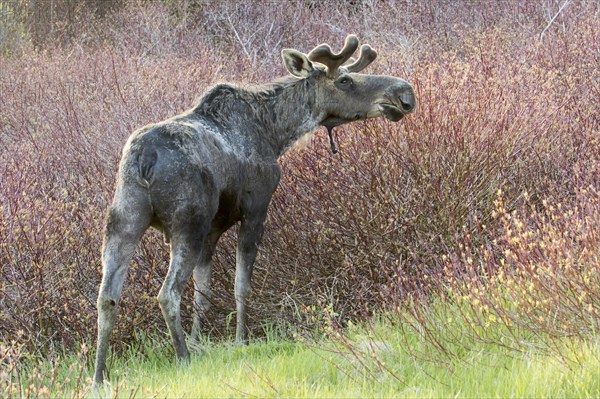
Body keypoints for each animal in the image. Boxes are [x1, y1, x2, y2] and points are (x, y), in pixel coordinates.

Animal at [94, 36, 414, 386]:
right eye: (344, 80)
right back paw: (182, 359)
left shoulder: (212, 230)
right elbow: (241, 284)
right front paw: (240, 340)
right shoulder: (255, 209)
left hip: (124, 221)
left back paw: (99, 375)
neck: (276, 133)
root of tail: (144, 159)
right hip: (186, 224)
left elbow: (203, 292)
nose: (403, 94)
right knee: (167, 294)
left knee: (107, 296)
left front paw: (199, 340)